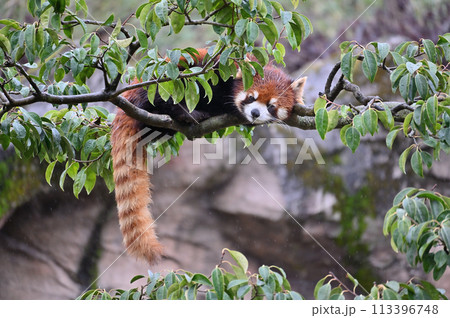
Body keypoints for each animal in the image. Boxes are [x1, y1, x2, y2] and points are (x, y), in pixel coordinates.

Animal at [110, 49, 306, 264]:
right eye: (251, 98)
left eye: (271, 106)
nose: (255, 113)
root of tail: (128, 98)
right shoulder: (216, 71)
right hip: (158, 81)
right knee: (165, 95)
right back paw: (186, 114)